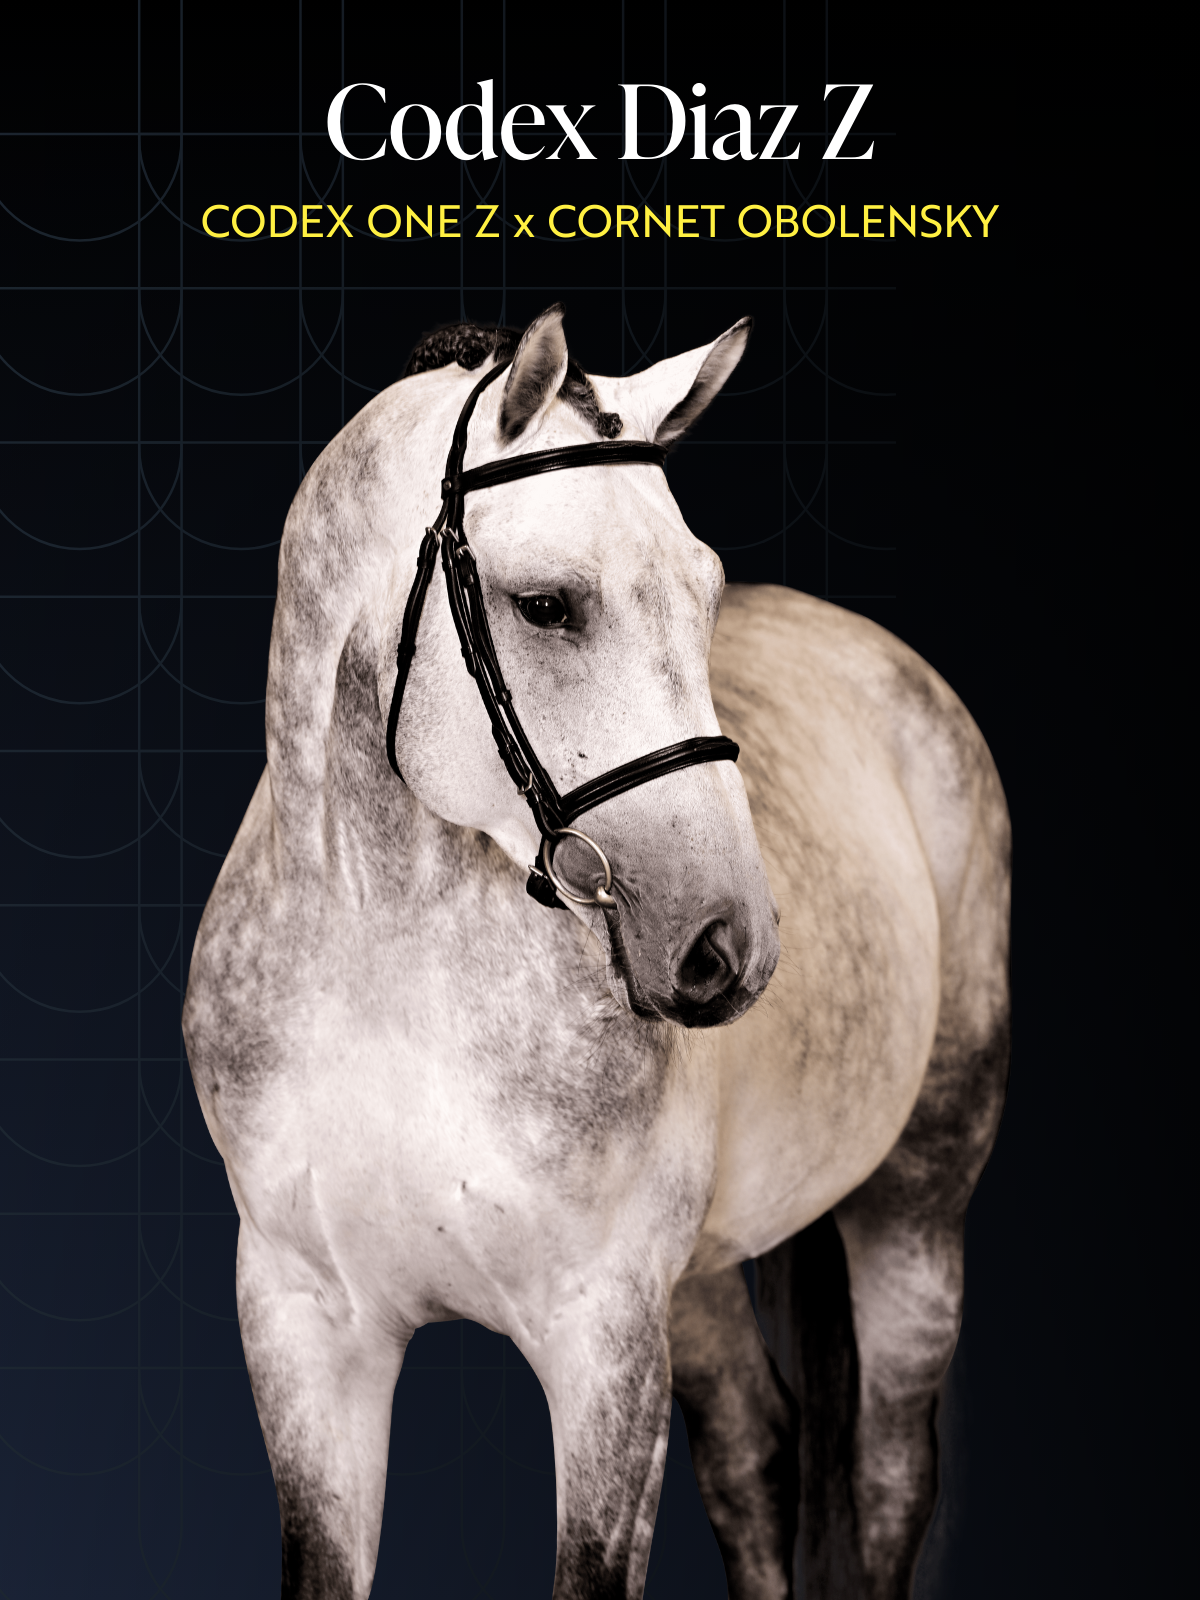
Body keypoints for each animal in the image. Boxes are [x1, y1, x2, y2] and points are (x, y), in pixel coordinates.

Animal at [182, 304, 1010, 1600]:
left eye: (705, 592)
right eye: (546, 605)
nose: (728, 940)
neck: (391, 972)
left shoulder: (603, 1343)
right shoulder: (304, 1327)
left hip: (913, 1209)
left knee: (884, 1482)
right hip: (707, 1281)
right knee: (758, 1457)